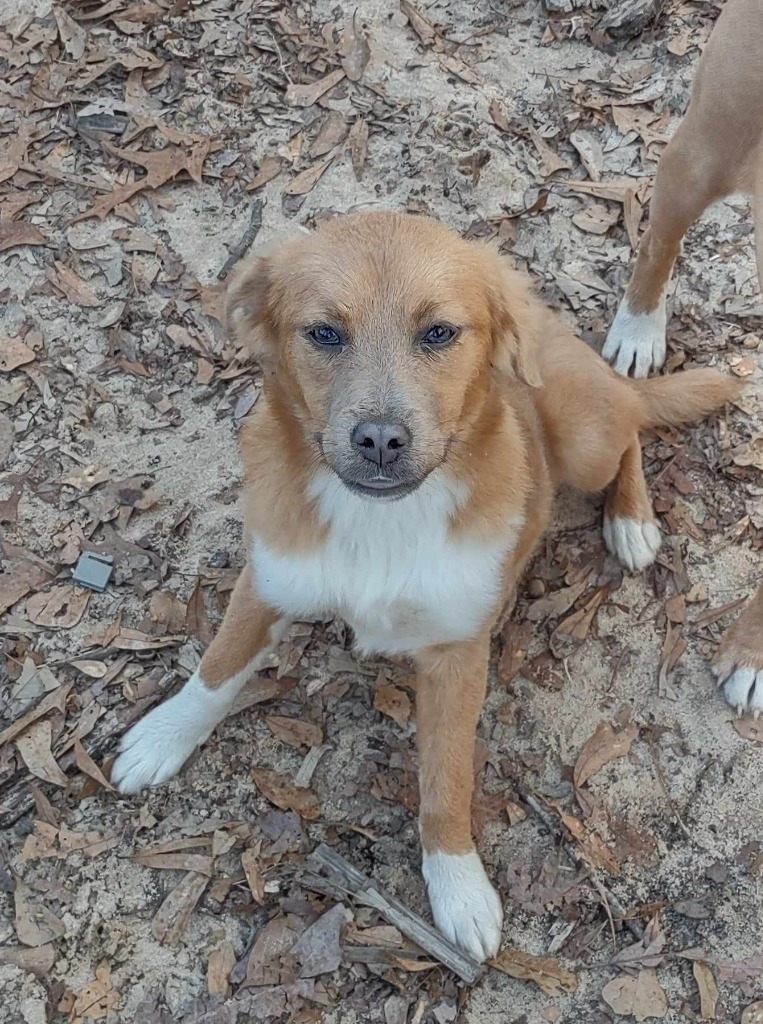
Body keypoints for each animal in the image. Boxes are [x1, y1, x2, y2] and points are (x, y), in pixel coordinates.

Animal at [110, 211, 733, 954]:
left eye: (438, 333)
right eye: (324, 333)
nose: (380, 440)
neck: (381, 521)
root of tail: (562, 335)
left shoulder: (456, 656)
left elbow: (446, 779)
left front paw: (457, 884)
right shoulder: (269, 581)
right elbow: (215, 668)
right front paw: (162, 736)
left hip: (583, 436)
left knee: (633, 427)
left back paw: (631, 520)